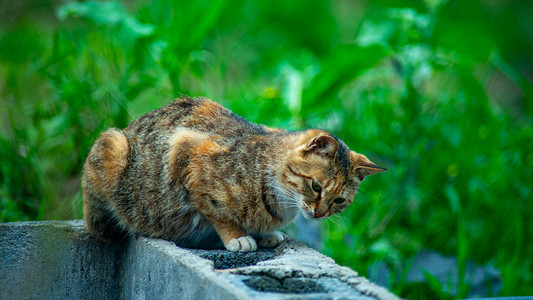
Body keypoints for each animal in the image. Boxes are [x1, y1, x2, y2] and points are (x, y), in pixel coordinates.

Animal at [81, 96, 384, 251]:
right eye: (316, 187)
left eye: (339, 201)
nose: (320, 214)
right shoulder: (188, 153)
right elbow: (217, 211)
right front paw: (237, 236)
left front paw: (263, 234)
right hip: (113, 146)